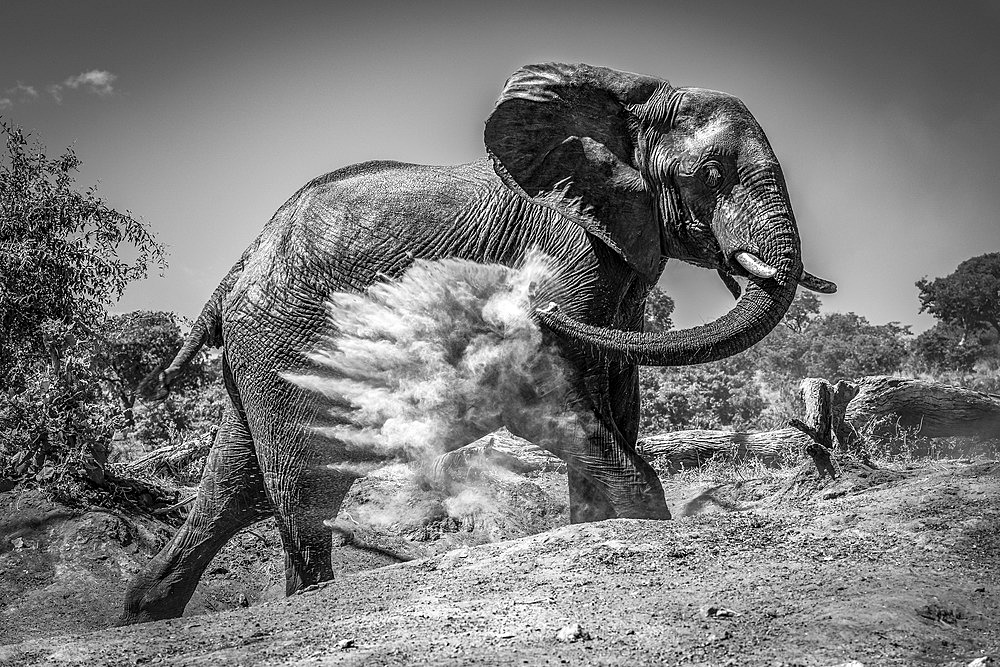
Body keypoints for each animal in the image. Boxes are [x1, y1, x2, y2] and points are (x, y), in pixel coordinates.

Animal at [117, 64, 836, 628]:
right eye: (711, 173)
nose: (530, 305)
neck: (623, 104)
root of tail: (237, 268)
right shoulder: (566, 246)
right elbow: (541, 392)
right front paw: (646, 524)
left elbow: (615, 402)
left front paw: (596, 526)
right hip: (281, 346)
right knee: (303, 486)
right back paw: (301, 599)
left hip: (261, 356)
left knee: (235, 487)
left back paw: (143, 611)